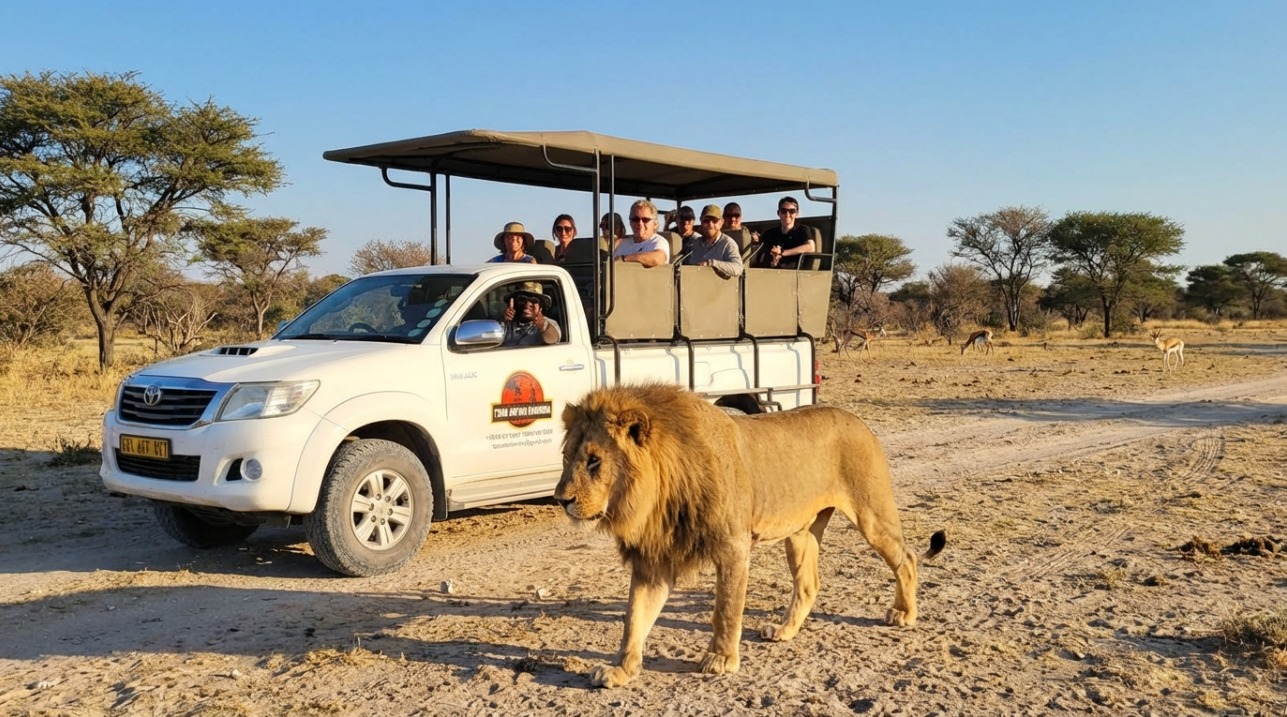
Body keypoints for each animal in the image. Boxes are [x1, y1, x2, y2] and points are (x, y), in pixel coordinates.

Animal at [554, 383, 946, 688]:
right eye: (567, 457)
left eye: (594, 461)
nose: (561, 499)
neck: (659, 496)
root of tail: (859, 420)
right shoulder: (653, 561)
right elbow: (634, 619)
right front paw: (620, 670)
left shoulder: (733, 548)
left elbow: (726, 609)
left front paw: (720, 660)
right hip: (800, 533)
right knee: (808, 585)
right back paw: (784, 631)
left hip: (871, 515)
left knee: (906, 558)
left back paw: (904, 613)